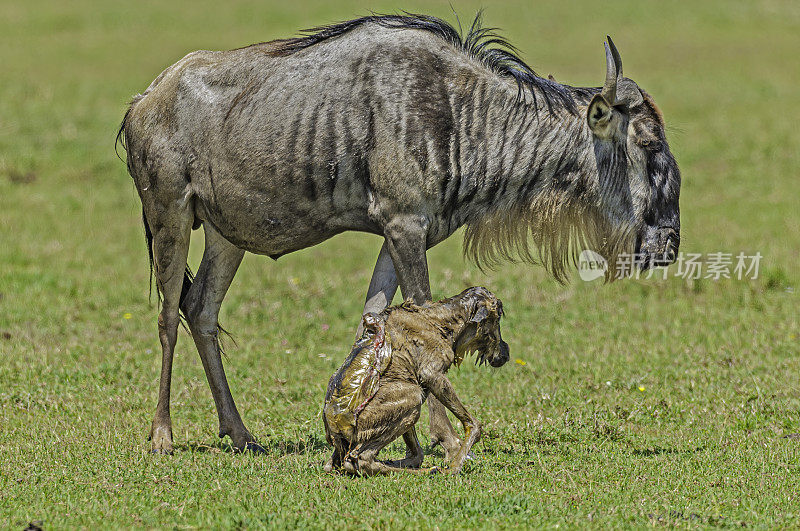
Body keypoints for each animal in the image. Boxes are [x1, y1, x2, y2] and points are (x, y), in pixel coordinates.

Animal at [324, 288, 506, 476]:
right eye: (498, 316)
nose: (504, 354)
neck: (441, 319)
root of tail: (335, 431)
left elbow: (417, 453)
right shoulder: (431, 374)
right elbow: (472, 424)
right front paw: (454, 467)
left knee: (334, 464)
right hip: (412, 396)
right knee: (362, 459)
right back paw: (430, 470)